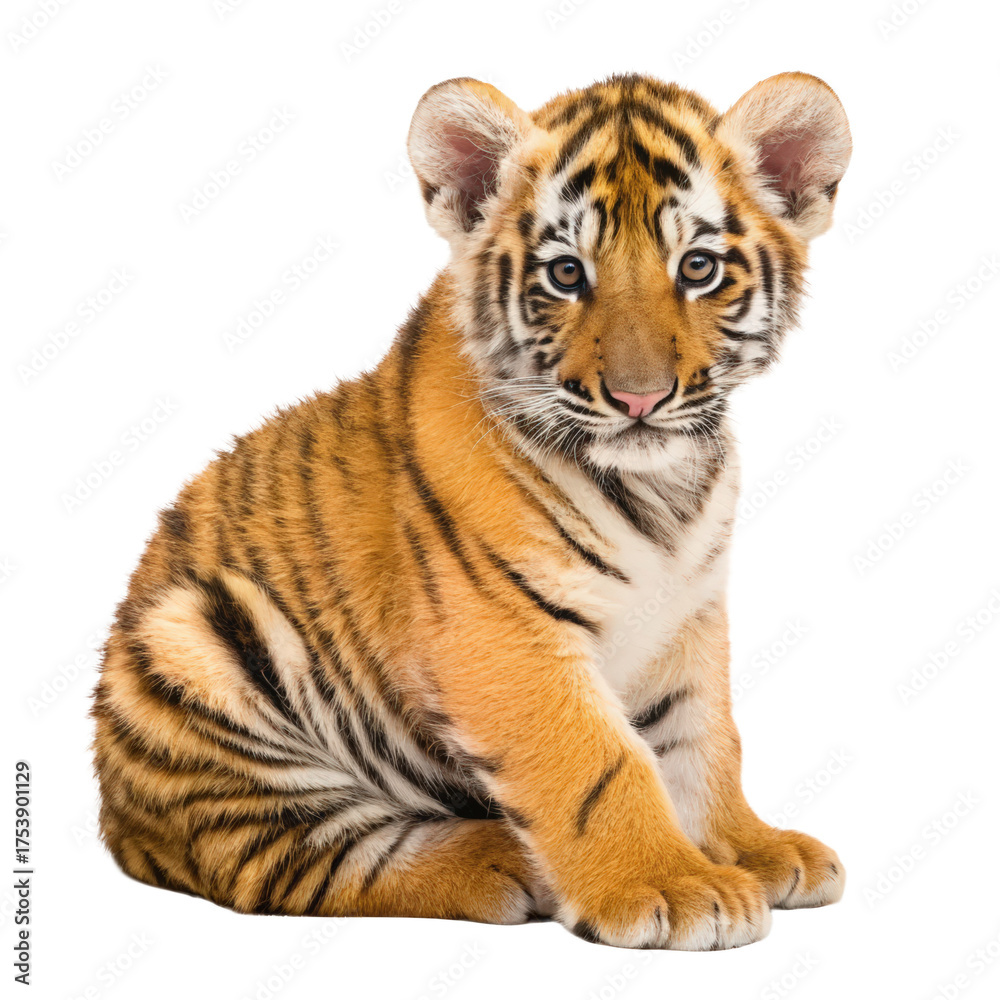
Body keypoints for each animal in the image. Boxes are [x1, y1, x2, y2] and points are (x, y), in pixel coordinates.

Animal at [91, 71, 852, 950]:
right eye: (566, 275)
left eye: (698, 268)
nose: (640, 398)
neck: (663, 486)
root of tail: (118, 820)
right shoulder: (503, 631)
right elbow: (599, 763)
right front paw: (675, 885)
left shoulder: (687, 614)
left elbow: (703, 739)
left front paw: (748, 848)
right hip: (195, 647)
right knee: (295, 853)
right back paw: (502, 860)